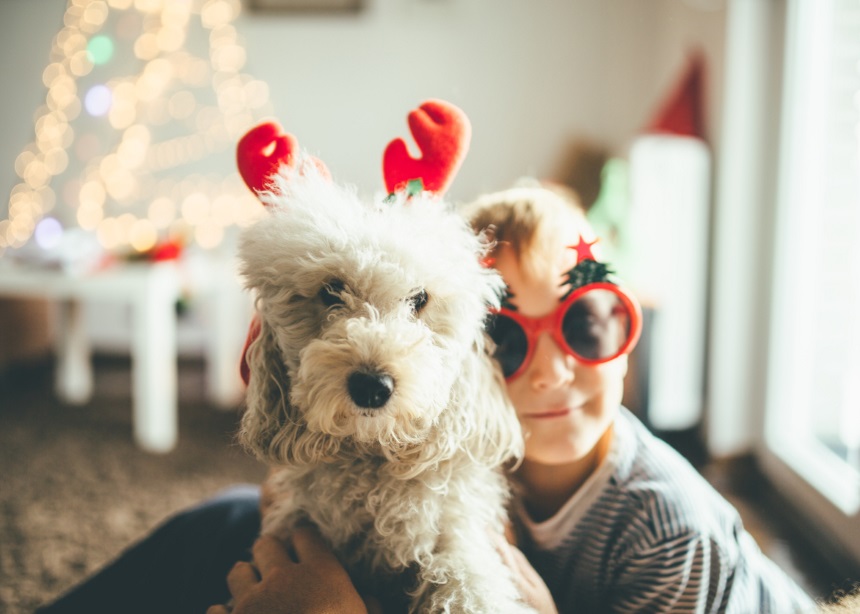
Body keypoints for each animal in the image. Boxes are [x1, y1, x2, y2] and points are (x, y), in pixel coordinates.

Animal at [232, 102, 536, 614]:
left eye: (419, 299)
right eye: (331, 292)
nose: (373, 386)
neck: (370, 467)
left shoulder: (456, 533)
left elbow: (464, 578)